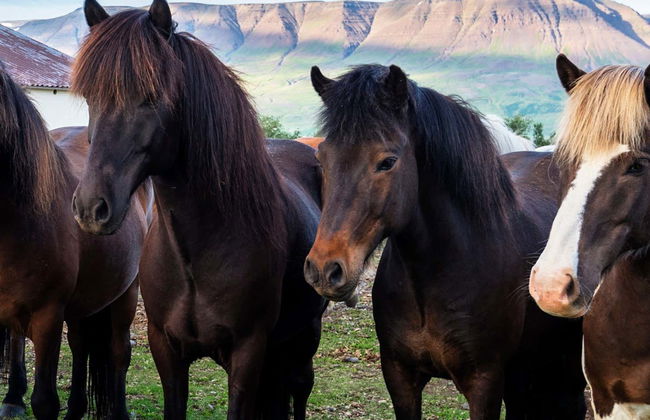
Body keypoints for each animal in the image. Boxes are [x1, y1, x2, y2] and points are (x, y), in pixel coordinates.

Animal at [71, 1, 327, 418]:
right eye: (91, 98)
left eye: (150, 97)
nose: (92, 208)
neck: (197, 253)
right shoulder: (166, 350)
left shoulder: (247, 354)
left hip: (305, 338)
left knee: (301, 387)